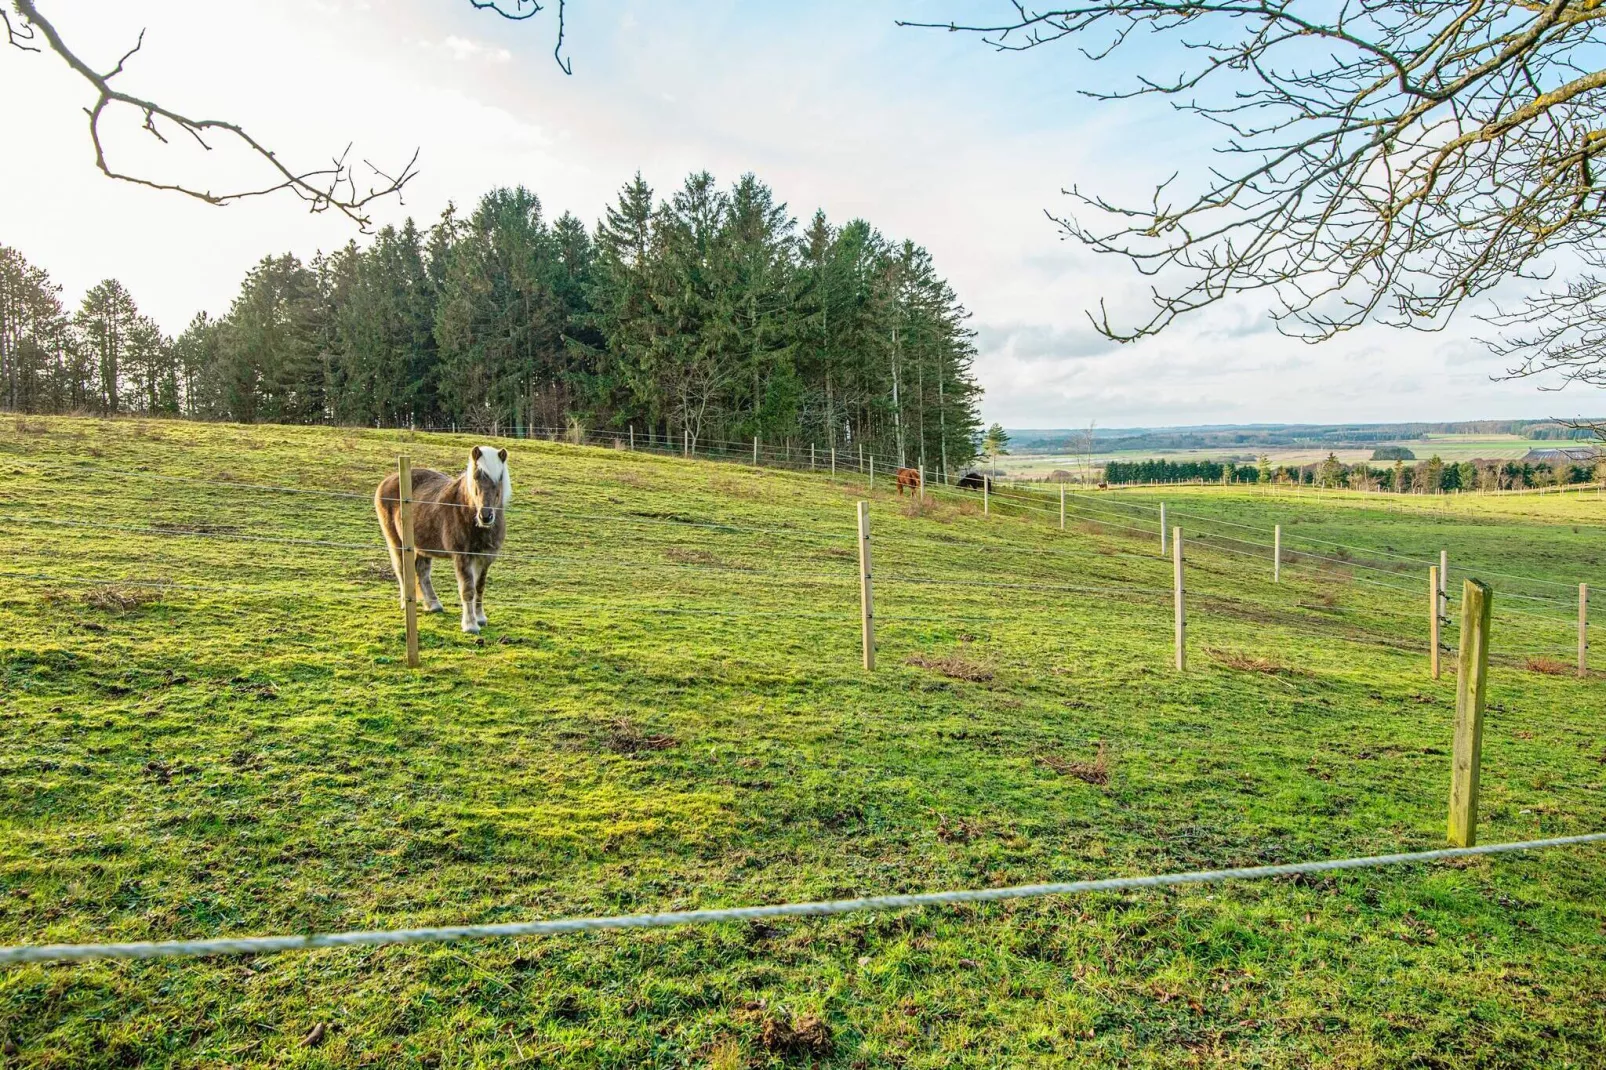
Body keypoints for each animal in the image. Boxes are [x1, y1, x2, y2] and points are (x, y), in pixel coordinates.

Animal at [372, 443, 510, 629]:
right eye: (476, 478)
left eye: (499, 478)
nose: (485, 516)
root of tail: (388, 480)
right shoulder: (462, 556)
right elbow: (468, 590)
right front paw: (470, 625)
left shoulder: (485, 557)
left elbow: (479, 588)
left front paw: (480, 618)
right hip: (396, 542)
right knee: (402, 570)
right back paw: (406, 603)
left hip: (422, 545)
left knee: (421, 571)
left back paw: (433, 605)